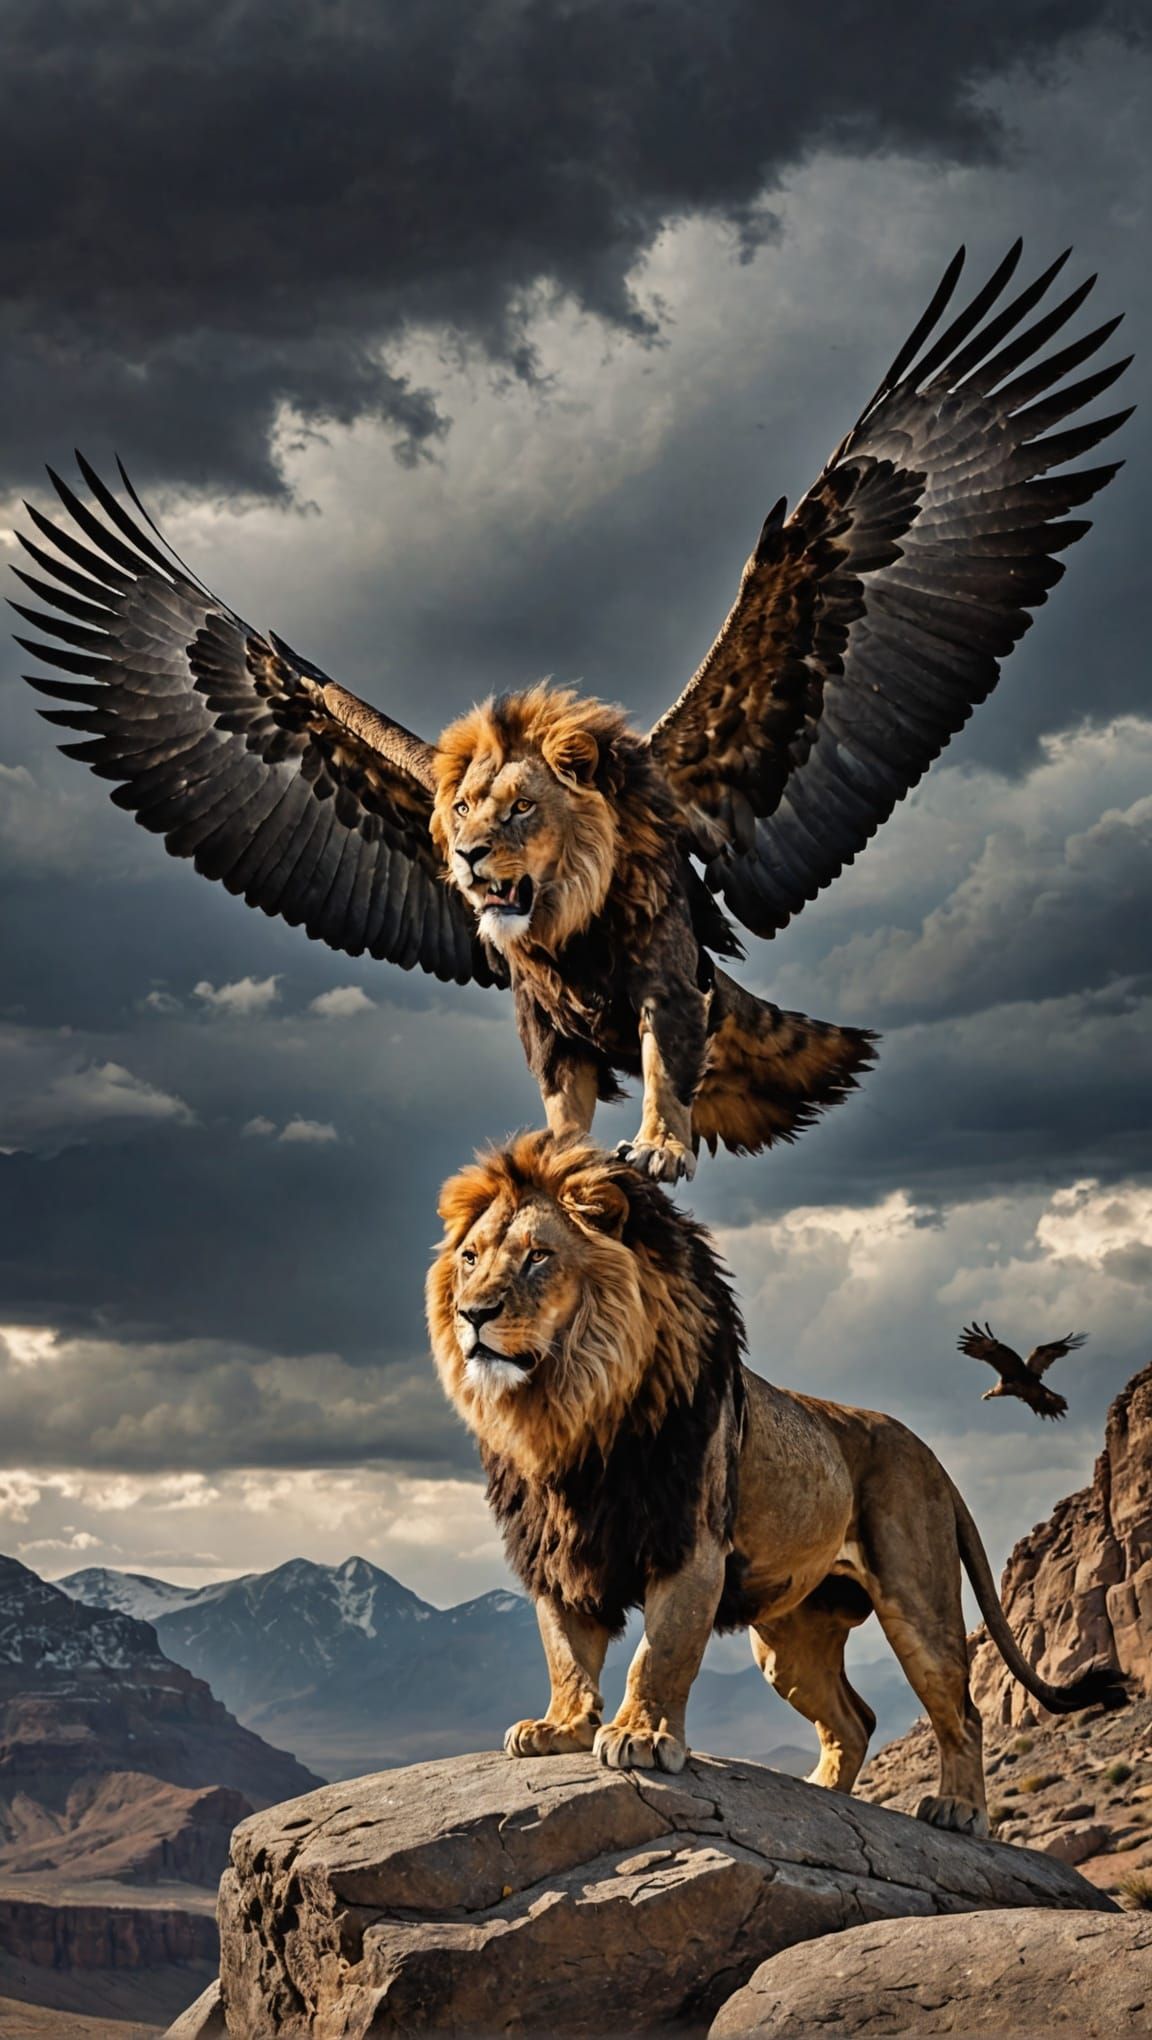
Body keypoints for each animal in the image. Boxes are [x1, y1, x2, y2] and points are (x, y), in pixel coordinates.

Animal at [428, 1133, 1126, 1835]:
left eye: (538, 1256)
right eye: (470, 1258)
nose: (473, 1313)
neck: (566, 1412)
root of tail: (929, 1455)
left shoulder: (691, 1546)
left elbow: (660, 1653)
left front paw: (642, 1737)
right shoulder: (558, 1557)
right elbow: (567, 1652)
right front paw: (560, 1728)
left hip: (917, 1604)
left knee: (963, 1711)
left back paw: (957, 1808)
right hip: (792, 1638)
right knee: (856, 1719)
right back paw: (821, 1798)